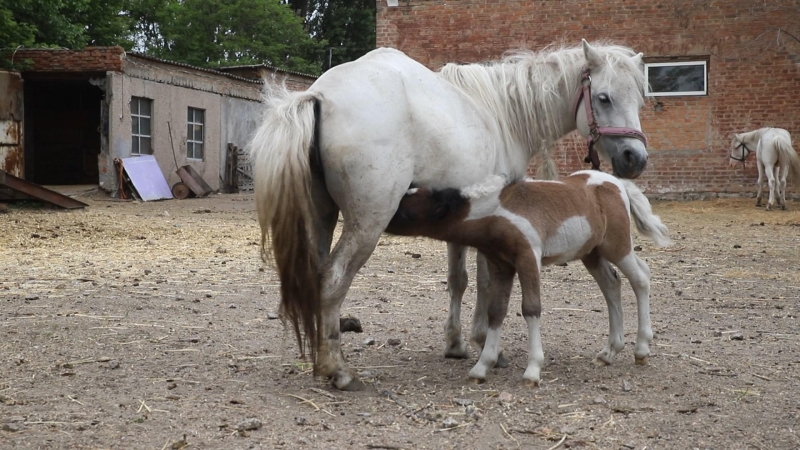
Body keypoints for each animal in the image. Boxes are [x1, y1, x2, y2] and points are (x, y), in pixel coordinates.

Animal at [250, 41, 648, 390]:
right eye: (604, 97)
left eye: (641, 97)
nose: (636, 158)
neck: (502, 114)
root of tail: (319, 95)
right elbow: (486, 283)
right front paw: (486, 345)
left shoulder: (465, 224)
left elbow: (458, 280)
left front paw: (457, 343)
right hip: (366, 225)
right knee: (333, 280)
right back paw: (339, 371)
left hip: (321, 218)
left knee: (318, 277)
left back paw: (322, 361)